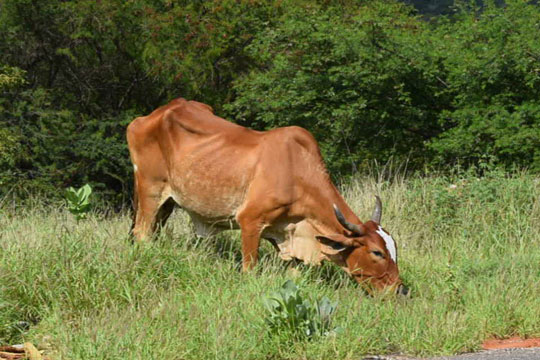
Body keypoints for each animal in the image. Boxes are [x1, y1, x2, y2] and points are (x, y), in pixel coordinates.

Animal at [127, 97, 410, 296]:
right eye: (376, 252)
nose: (400, 290)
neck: (297, 172)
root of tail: (151, 115)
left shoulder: (290, 236)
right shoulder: (250, 222)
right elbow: (249, 269)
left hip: (168, 203)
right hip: (150, 191)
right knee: (142, 234)